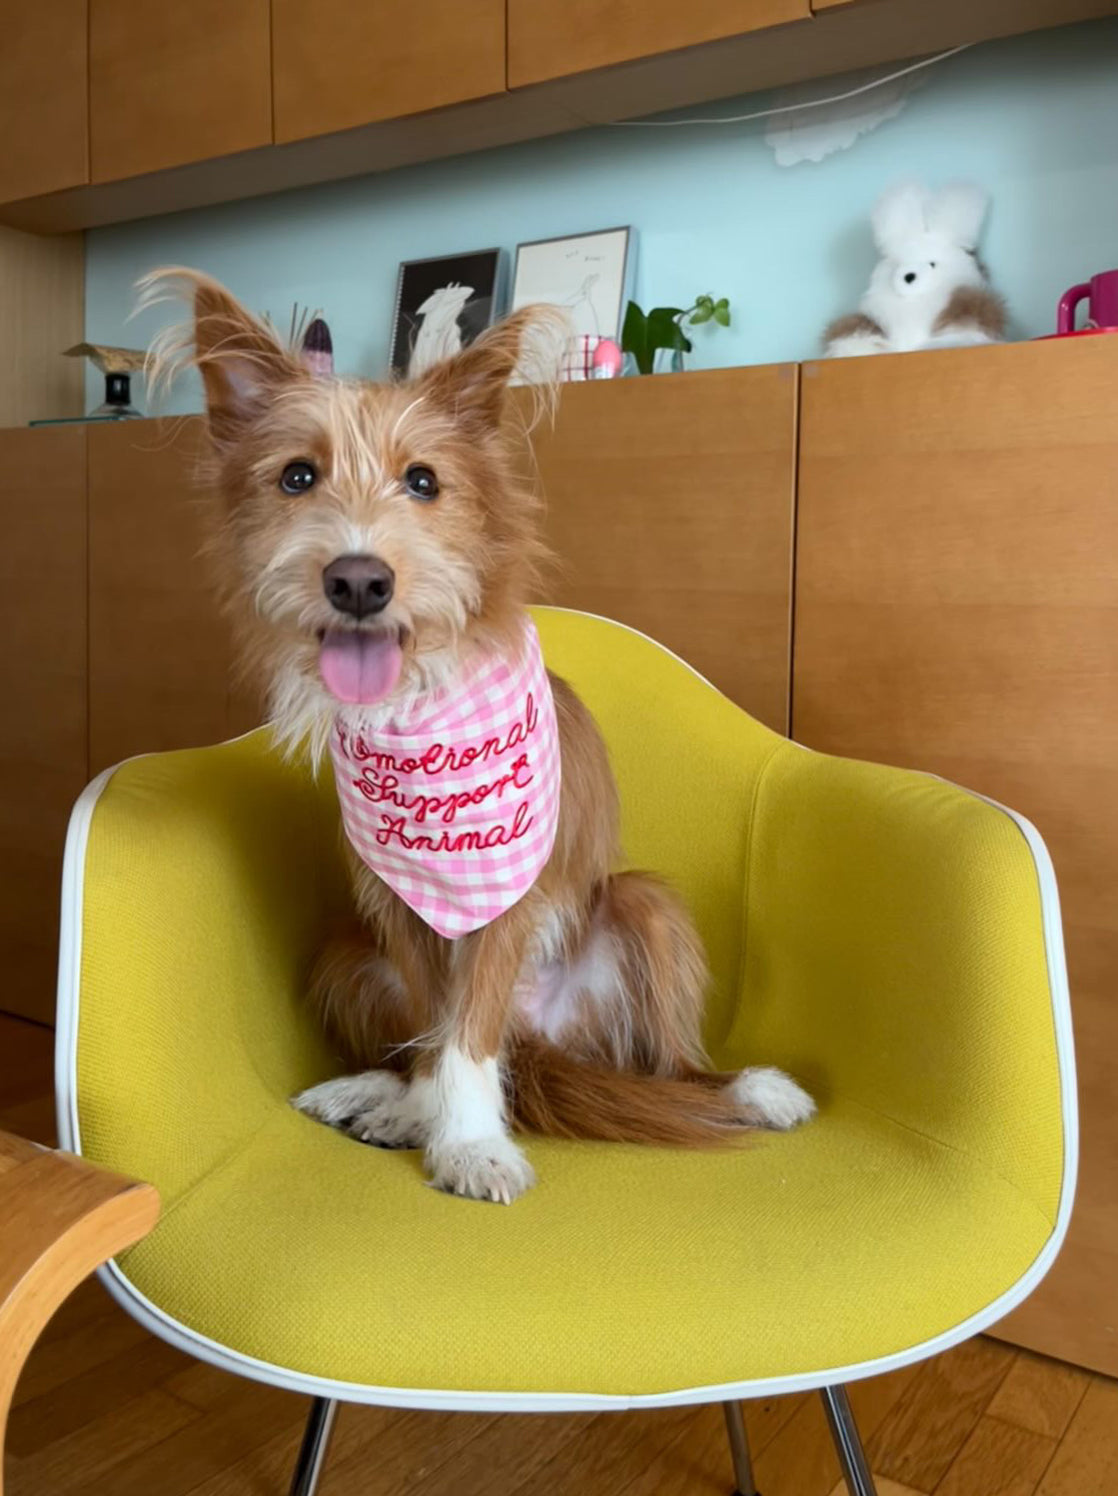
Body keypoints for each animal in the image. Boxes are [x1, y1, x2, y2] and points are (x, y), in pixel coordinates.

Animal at [146, 269, 814, 1202]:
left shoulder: (501, 901)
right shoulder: (395, 902)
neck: (420, 713)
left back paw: (750, 1089)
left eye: (424, 482)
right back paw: (377, 1096)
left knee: (670, 1066)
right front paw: (432, 1121)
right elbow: (438, 1035)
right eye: (297, 476)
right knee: (423, 1046)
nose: (359, 580)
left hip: (645, 908)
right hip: (342, 950)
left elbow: (467, 1038)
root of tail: (545, 1040)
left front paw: (467, 1143)